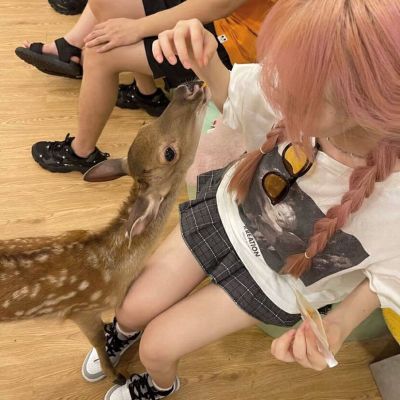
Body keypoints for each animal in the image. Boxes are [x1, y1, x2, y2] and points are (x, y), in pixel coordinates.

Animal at [0, 82, 208, 383]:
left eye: (145, 126)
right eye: (169, 153)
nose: (188, 87)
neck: (116, 267)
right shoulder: (82, 309)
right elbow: (98, 341)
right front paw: (116, 375)